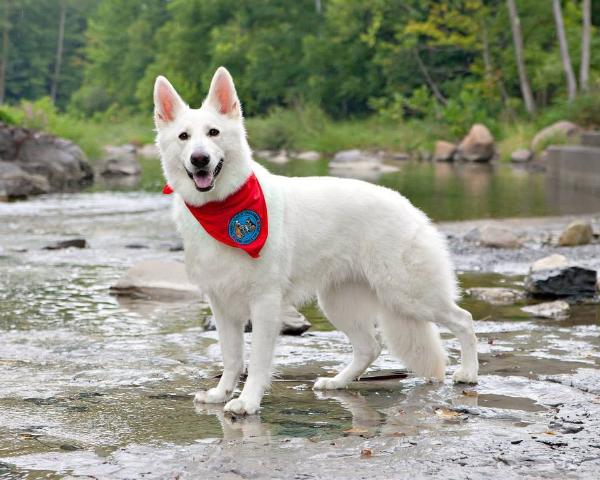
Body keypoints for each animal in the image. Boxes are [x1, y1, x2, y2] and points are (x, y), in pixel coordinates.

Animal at [154, 65, 478, 414]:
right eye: (184, 137)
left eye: (213, 133)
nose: (199, 159)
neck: (221, 206)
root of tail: (410, 207)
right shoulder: (222, 305)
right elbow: (232, 358)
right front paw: (222, 393)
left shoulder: (264, 303)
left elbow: (256, 362)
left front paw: (248, 401)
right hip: (340, 303)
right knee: (370, 347)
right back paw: (337, 382)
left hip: (408, 294)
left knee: (464, 320)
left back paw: (469, 373)